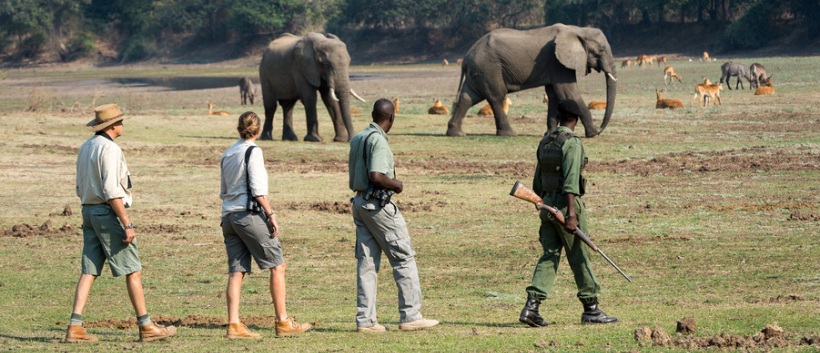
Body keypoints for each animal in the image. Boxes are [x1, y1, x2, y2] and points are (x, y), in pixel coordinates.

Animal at [448, 23, 616, 138]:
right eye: (601, 51)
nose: (600, 128)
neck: (578, 29)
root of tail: (466, 58)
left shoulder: (554, 66)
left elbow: (553, 94)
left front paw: (550, 133)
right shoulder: (557, 63)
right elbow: (568, 94)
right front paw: (593, 133)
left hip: (479, 72)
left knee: (468, 97)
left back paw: (456, 133)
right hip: (489, 69)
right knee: (496, 97)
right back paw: (509, 134)